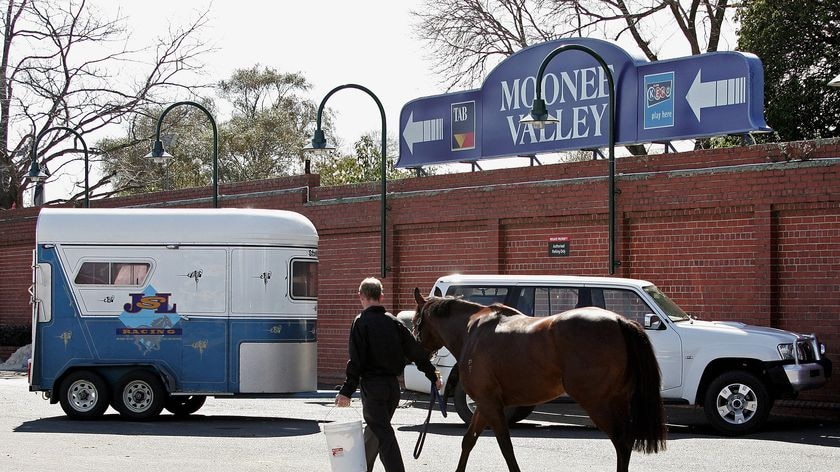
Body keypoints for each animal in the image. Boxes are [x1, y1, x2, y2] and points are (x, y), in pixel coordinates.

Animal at [410, 288, 668, 472]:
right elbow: (469, 441)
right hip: (618, 401)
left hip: (598, 404)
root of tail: (619, 321)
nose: (418, 351)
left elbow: (505, 446)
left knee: (621, 442)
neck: (471, 331)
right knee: (625, 443)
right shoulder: (485, 404)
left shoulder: (489, 404)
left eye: (415, 322)